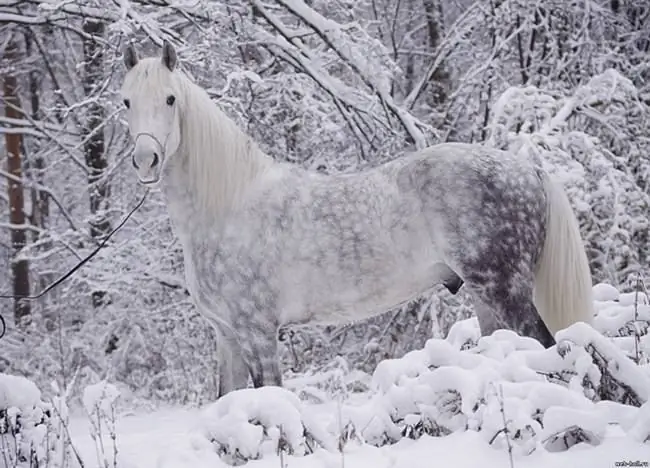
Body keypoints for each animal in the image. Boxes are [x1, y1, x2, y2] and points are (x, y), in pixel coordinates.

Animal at [117, 42, 592, 396]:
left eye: (170, 99)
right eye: (125, 101)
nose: (146, 160)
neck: (228, 206)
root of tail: (528, 169)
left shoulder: (257, 333)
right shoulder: (228, 337)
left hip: (508, 293)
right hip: (486, 298)